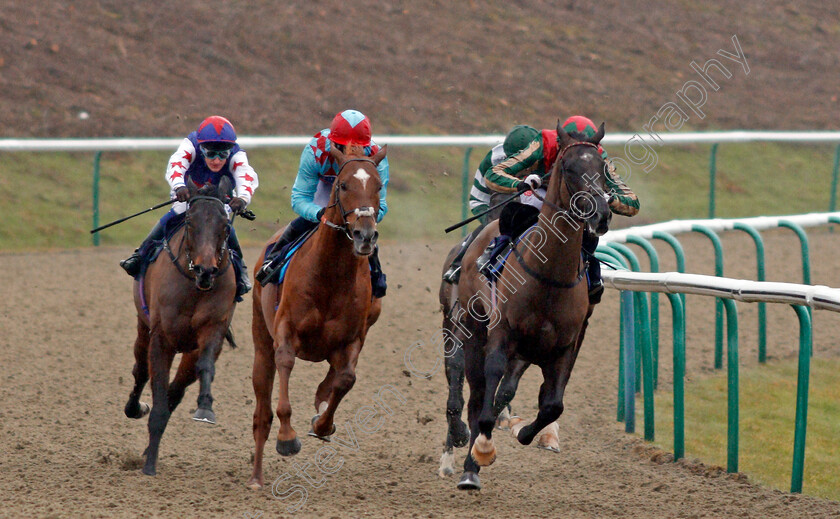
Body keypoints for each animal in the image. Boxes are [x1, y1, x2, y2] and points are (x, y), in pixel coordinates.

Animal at [123, 180, 238, 480]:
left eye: (225, 225)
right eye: (189, 221)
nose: (205, 270)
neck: (193, 286)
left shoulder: (210, 333)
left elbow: (203, 368)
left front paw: (206, 407)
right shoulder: (161, 339)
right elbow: (156, 386)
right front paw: (149, 466)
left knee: (176, 390)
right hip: (143, 328)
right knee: (141, 371)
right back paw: (134, 409)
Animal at [244, 144, 386, 490]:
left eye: (378, 186)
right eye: (343, 185)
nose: (365, 235)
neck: (330, 276)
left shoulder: (353, 337)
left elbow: (346, 378)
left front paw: (322, 423)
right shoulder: (286, 330)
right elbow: (285, 364)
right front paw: (287, 437)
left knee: (334, 376)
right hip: (260, 340)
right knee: (261, 412)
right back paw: (256, 476)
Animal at [446, 124, 612, 490]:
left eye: (603, 169)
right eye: (569, 168)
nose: (601, 213)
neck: (549, 276)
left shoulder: (565, 345)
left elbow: (552, 405)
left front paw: (528, 433)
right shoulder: (501, 334)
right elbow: (487, 403)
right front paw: (481, 451)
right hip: (471, 330)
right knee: (475, 396)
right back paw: (469, 464)